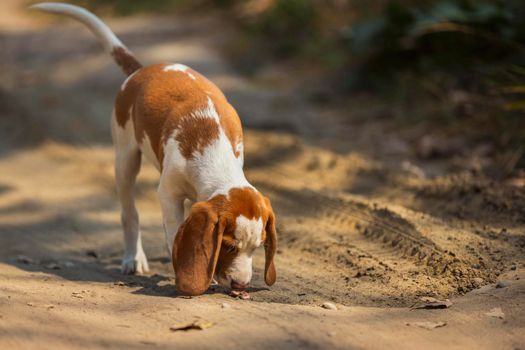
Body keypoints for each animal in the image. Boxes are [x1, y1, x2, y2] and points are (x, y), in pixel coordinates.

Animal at [31, 4, 278, 296]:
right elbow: (173, 235)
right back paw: (132, 258)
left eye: (258, 247)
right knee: (129, 213)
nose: (241, 285)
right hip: (125, 159)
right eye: (229, 246)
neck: (213, 151)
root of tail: (142, 70)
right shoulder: (168, 195)